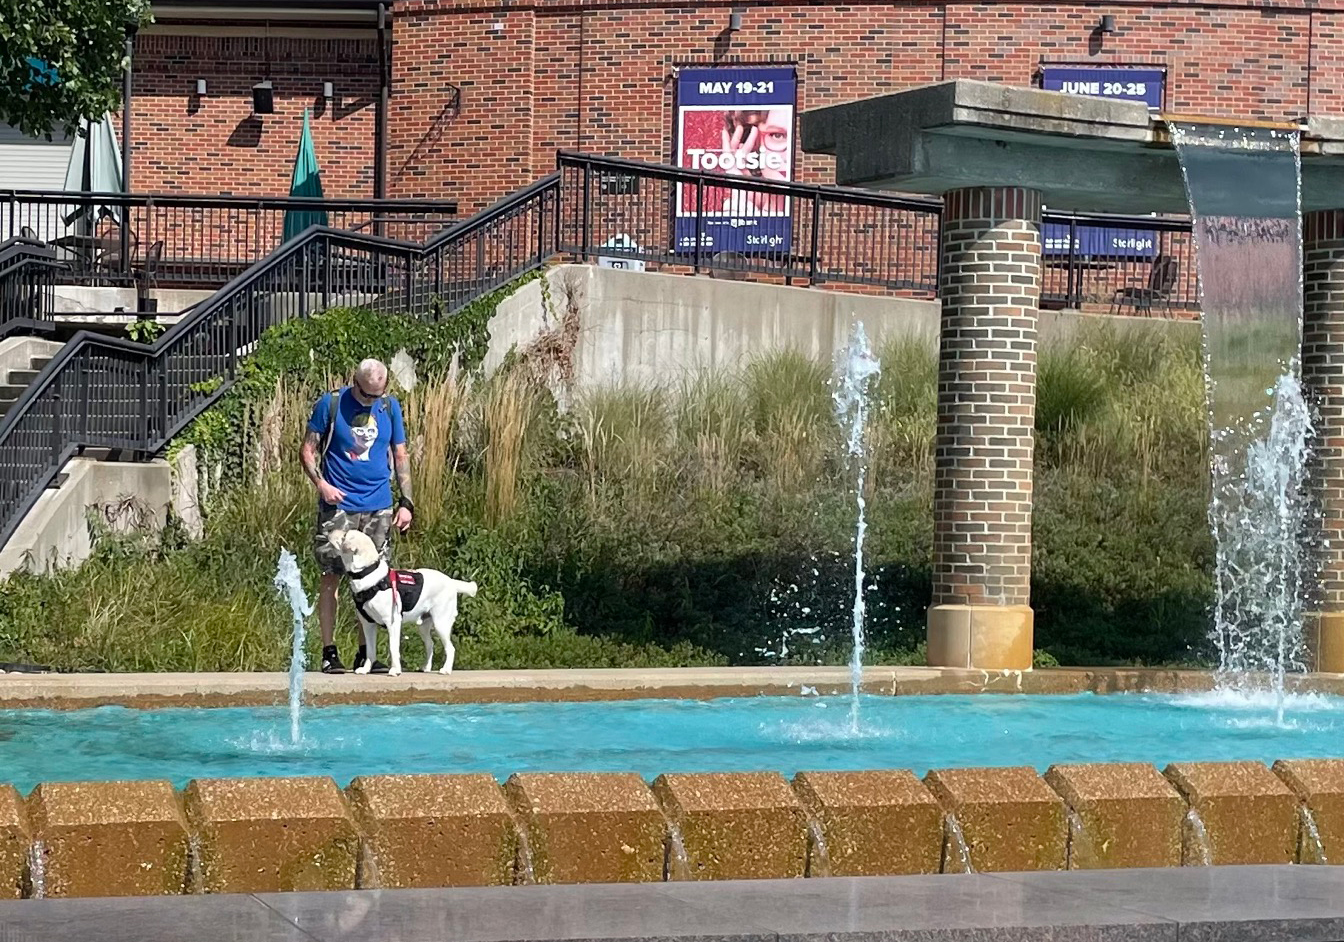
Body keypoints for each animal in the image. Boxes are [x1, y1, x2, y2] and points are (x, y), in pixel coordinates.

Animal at [325, 529, 478, 677]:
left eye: (344, 535)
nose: (330, 531)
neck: (367, 572)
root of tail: (452, 582)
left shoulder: (393, 622)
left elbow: (393, 648)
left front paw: (395, 670)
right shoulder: (368, 624)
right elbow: (370, 650)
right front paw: (365, 669)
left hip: (441, 623)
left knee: (450, 648)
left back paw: (445, 670)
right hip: (424, 625)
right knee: (430, 644)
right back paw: (426, 667)